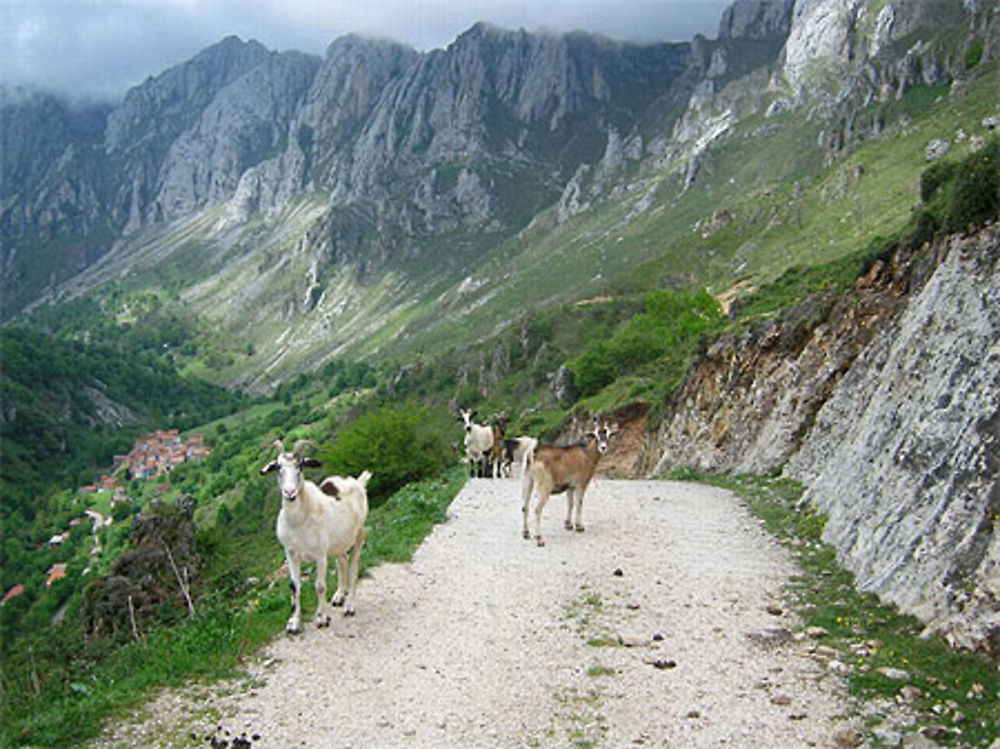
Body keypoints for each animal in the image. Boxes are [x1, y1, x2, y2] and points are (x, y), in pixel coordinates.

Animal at [262, 438, 372, 632]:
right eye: (278, 467)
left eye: (300, 466)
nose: (289, 493)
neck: (299, 522)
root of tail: (358, 482)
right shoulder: (290, 553)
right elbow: (294, 586)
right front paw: (294, 621)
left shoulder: (320, 555)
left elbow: (320, 586)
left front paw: (321, 618)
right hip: (337, 543)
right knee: (342, 561)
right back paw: (339, 596)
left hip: (358, 534)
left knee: (353, 567)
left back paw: (349, 606)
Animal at [520, 418, 612, 548]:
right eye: (596, 435)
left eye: (608, 434)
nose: (603, 447)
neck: (587, 455)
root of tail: (532, 454)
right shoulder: (581, 484)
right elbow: (579, 503)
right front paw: (579, 527)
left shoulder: (570, 486)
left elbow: (570, 503)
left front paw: (568, 525)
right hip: (544, 486)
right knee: (537, 510)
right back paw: (539, 539)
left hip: (527, 481)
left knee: (525, 507)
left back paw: (526, 533)